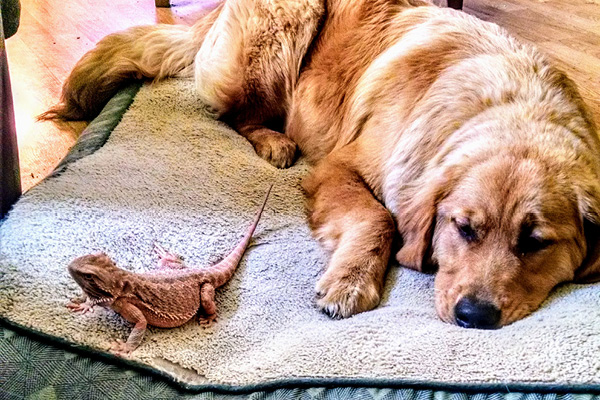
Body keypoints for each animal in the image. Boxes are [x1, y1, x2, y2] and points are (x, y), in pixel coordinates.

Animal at [42, 0, 600, 328]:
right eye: (464, 229)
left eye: (536, 243)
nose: (474, 316)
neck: (512, 106)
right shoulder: (339, 166)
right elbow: (379, 217)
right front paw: (350, 280)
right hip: (283, 35)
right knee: (233, 114)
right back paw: (273, 141)